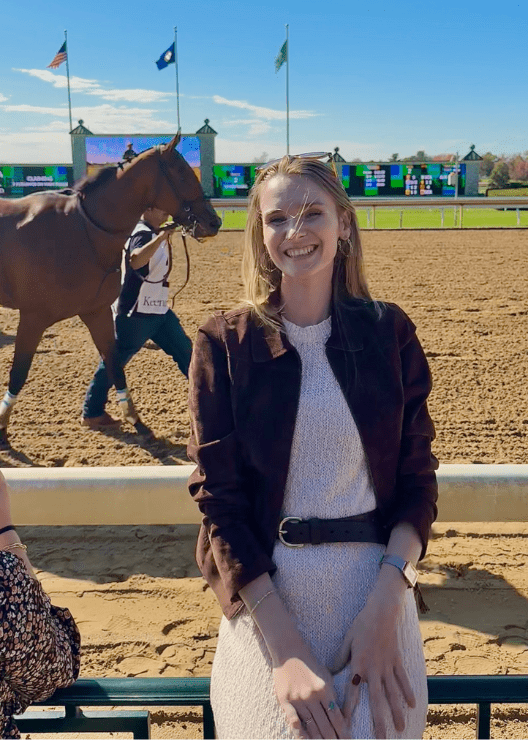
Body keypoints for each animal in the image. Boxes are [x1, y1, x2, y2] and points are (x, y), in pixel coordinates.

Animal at [0, 134, 221, 448]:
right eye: (181, 172)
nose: (214, 221)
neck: (82, 231)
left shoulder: (97, 311)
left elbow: (114, 364)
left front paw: (137, 423)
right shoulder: (33, 317)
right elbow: (19, 372)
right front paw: (2, 428)